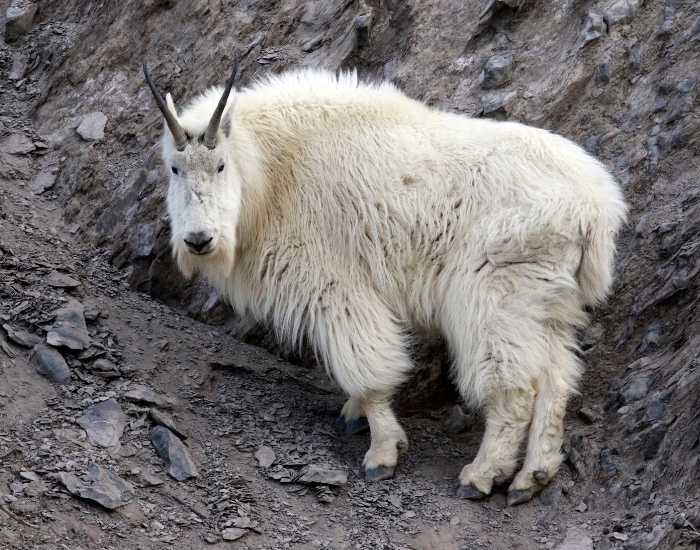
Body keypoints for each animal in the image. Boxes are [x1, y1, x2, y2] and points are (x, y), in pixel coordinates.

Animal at [143, 61, 627, 505]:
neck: (272, 167)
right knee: (556, 379)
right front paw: (354, 417)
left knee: (515, 387)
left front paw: (381, 453)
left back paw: (481, 475)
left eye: (220, 165)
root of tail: (597, 208)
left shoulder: (333, 282)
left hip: (495, 292)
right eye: (173, 168)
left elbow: (368, 371)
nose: (199, 240)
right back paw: (533, 477)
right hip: (547, 299)